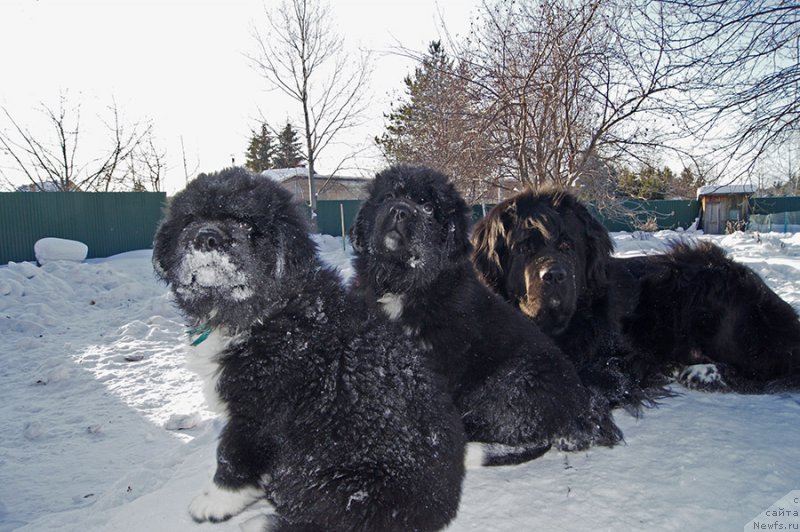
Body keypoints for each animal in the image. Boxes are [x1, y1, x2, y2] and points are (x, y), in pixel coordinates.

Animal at [153, 167, 466, 532]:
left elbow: (232, 457)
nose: (207, 237)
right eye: (191, 219)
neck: (262, 314)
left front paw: (214, 503)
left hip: (333, 480)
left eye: (246, 225)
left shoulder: (258, 412)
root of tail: (441, 508)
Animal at [348, 163, 620, 466]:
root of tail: (582, 409)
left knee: (528, 437)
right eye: (388, 197)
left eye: (428, 207)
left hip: (511, 385)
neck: (401, 284)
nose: (400, 210)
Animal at [472, 188, 800, 394]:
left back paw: (701, 374)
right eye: (524, 248)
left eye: (567, 246)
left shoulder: (617, 359)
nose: (553, 275)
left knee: (764, 371)